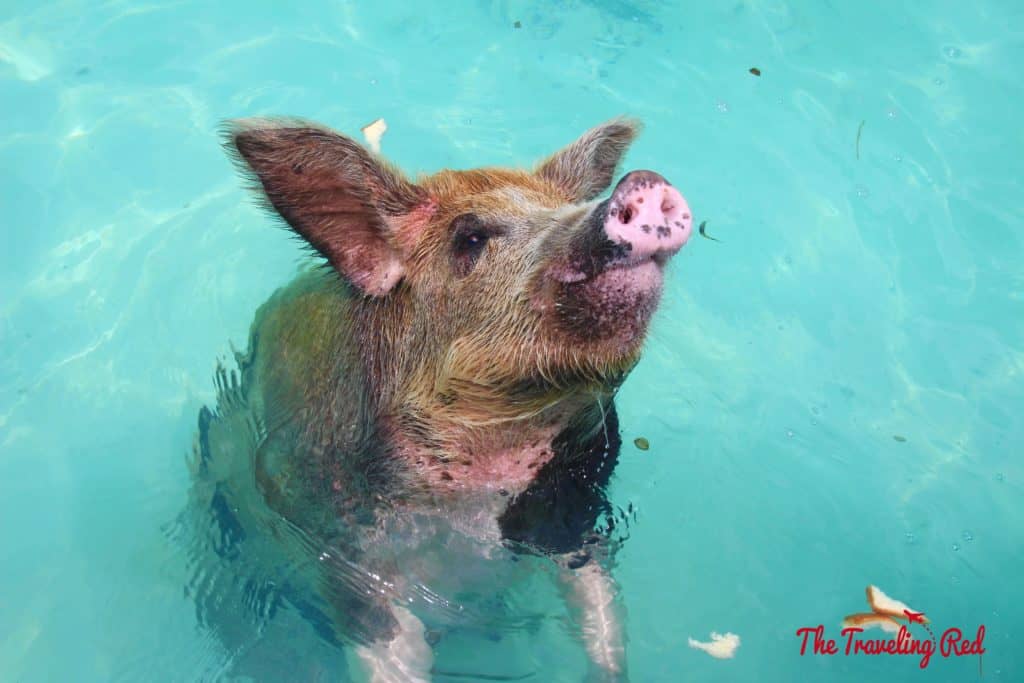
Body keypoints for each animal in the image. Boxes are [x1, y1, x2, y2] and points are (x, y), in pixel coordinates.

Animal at [188, 116, 692, 681]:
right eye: (469, 236)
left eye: (560, 206)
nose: (643, 181)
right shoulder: (344, 555)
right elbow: (390, 650)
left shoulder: (575, 515)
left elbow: (601, 609)